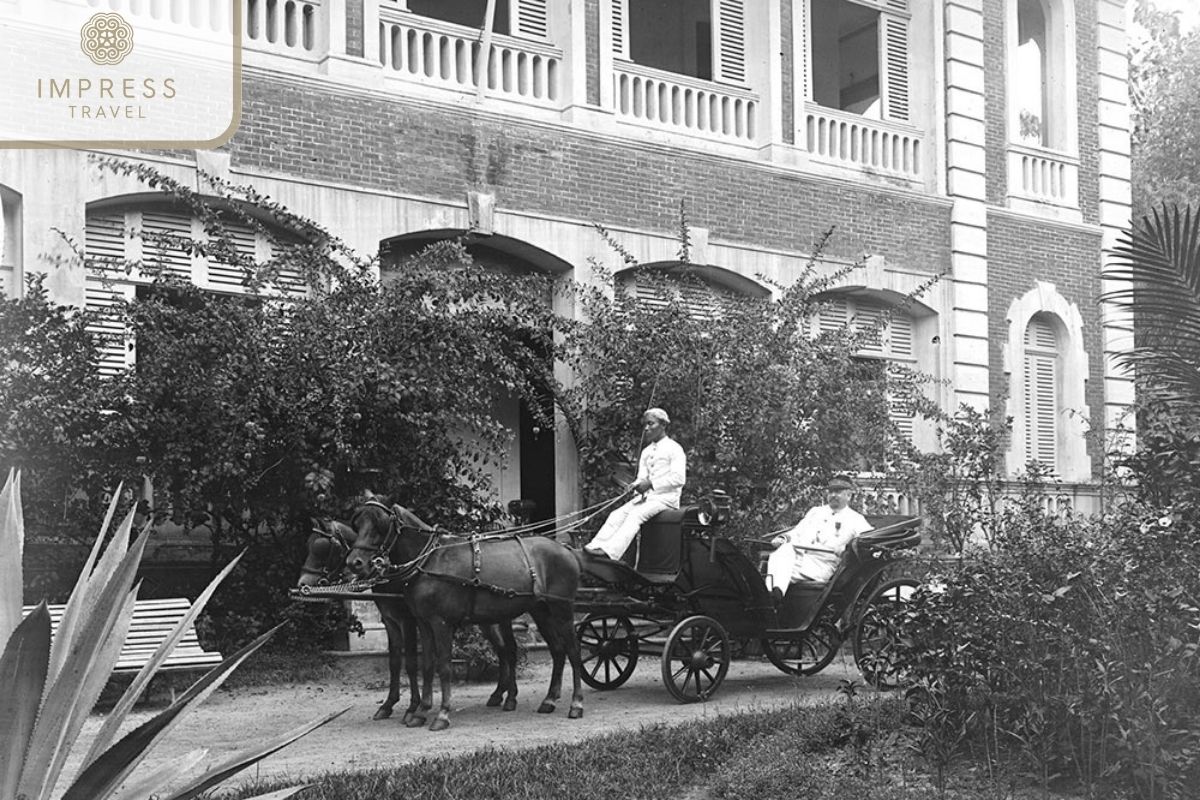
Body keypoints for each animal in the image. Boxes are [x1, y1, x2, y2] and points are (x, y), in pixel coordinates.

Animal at [297, 515, 518, 724]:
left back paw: (508, 696)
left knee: (508, 649)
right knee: (502, 650)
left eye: (321, 548)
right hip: (488, 620)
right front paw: (388, 704)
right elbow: (395, 661)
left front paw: (413, 707)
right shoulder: (390, 621)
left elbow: (411, 663)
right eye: (308, 545)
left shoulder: (408, 621)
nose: (302, 584)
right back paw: (500, 694)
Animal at [345, 501, 583, 734]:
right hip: (540, 612)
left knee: (572, 651)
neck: (429, 560)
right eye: (358, 525)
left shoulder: (439, 623)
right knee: (555, 651)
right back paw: (548, 700)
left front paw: (441, 714)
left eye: (379, 525)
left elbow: (443, 666)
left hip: (561, 610)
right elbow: (427, 665)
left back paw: (576, 704)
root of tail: (566, 550)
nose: (354, 562)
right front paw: (421, 711)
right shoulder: (422, 623)